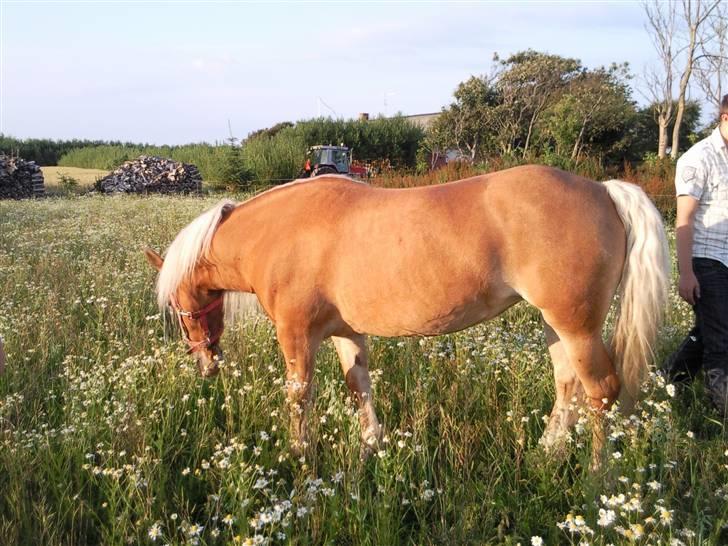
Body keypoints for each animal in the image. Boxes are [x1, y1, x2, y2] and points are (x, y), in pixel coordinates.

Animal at [144, 165, 672, 454]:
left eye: (176, 305)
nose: (205, 364)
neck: (278, 231)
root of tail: (602, 189)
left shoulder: (295, 335)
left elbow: (299, 396)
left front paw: (300, 453)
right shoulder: (345, 332)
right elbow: (358, 384)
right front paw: (371, 444)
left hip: (577, 327)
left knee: (601, 393)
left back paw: (596, 478)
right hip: (554, 325)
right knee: (567, 385)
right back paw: (549, 451)